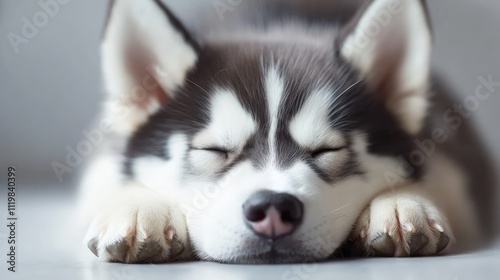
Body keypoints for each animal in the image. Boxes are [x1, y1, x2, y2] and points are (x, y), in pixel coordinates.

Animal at [79, 0, 496, 262]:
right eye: (214, 150)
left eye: (326, 150)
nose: (273, 208)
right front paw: (139, 206)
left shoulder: (453, 155)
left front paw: (401, 201)